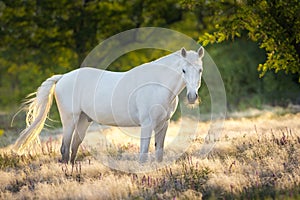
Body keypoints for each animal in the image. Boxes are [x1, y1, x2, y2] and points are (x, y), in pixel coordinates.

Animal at [12, 47, 204, 164]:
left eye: (200, 70)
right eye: (183, 70)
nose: (192, 97)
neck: (157, 84)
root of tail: (63, 77)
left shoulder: (163, 124)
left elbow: (159, 152)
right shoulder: (147, 124)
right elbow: (143, 154)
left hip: (83, 121)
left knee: (74, 148)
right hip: (70, 120)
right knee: (65, 149)